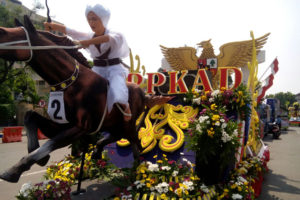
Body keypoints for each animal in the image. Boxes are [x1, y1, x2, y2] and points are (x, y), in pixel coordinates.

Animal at [0, 16, 171, 183]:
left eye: (5, 32)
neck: (70, 83)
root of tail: (143, 94)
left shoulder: (81, 127)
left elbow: (50, 143)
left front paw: (14, 170)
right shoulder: (62, 124)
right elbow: (30, 117)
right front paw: (39, 156)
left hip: (127, 125)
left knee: (137, 145)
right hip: (114, 124)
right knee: (118, 139)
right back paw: (100, 152)